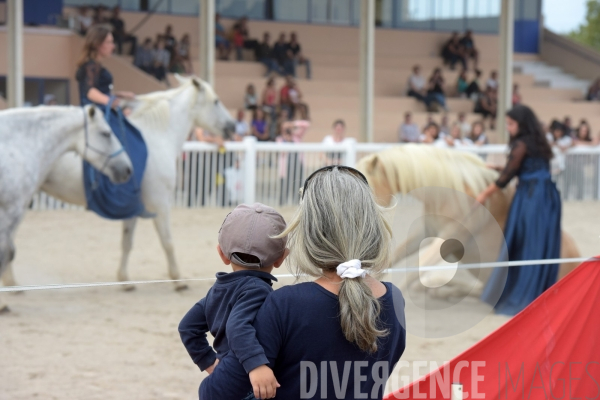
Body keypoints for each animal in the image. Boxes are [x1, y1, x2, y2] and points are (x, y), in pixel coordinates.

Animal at [2, 76, 237, 292]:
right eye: (216, 101)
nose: (233, 125)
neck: (157, 136)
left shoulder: (132, 207)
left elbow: (127, 243)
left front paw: (124, 280)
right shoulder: (160, 203)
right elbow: (168, 242)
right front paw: (178, 280)